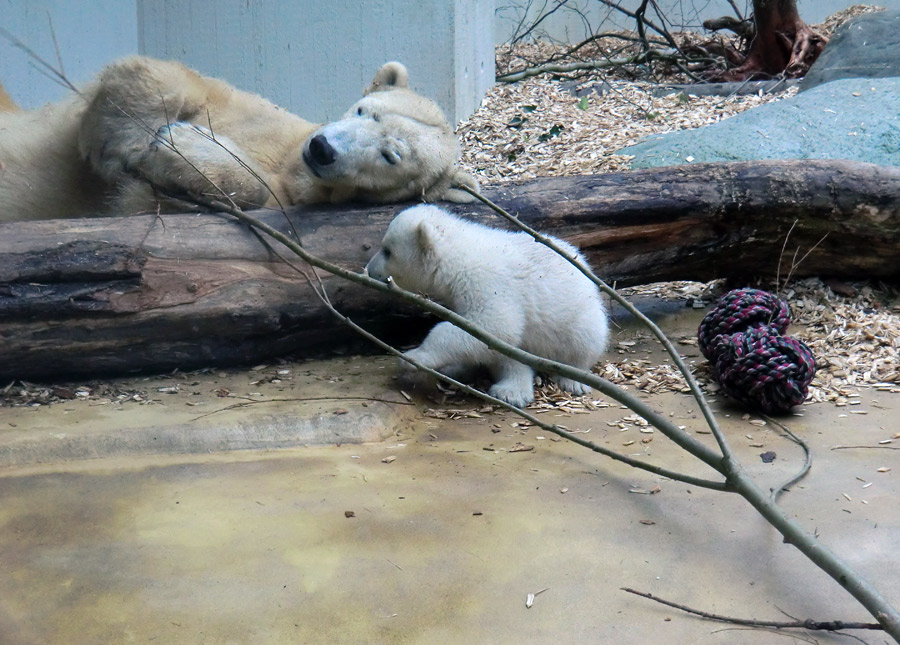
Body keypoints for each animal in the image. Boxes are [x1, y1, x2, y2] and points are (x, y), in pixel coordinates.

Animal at [0, 56, 478, 221]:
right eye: (364, 111)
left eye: (390, 155)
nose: (322, 149)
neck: (294, 163)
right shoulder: (262, 114)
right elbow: (173, 78)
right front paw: (121, 143)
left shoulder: (288, 194)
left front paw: (179, 146)